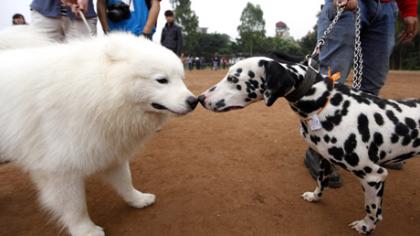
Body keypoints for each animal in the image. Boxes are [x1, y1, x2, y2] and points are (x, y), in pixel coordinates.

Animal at [0, 33, 198, 236]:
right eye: (161, 80)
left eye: (181, 78)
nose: (194, 101)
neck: (99, 90)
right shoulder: (60, 168)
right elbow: (75, 206)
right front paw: (85, 230)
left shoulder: (109, 149)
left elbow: (126, 181)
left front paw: (138, 200)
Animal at [199, 55, 420, 234]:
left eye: (233, 79)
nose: (201, 98)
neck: (324, 102)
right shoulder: (323, 158)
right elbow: (321, 183)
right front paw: (315, 197)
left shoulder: (374, 176)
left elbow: (372, 209)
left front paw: (366, 227)